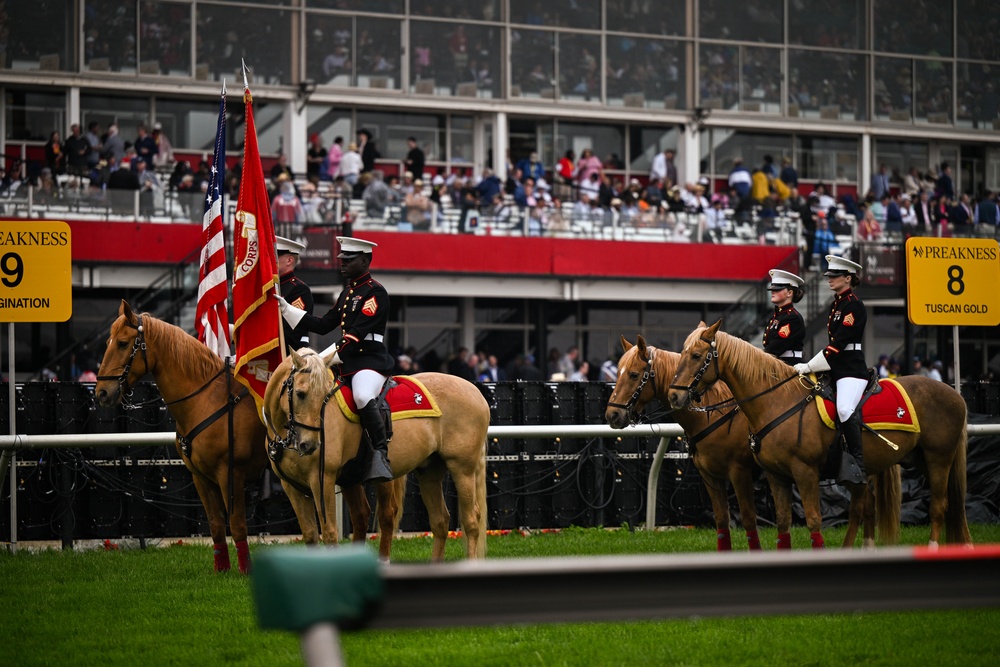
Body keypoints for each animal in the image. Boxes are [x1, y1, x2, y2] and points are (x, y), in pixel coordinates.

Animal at [260, 350, 490, 564]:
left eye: (325, 397)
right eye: (300, 394)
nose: (310, 445)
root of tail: (475, 391)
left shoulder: (322, 481)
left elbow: (330, 533)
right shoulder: (293, 487)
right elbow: (310, 535)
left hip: (462, 469)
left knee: (471, 520)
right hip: (429, 473)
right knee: (440, 520)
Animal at [604, 336, 760, 552]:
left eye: (634, 375)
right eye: (617, 373)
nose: (612, 415)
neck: (715, 414)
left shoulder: (739, 472)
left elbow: (748, 518)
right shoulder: (709, 475)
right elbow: (722, 518)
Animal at [668, 322, 972, 548]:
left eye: (696, 356)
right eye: (682, 353)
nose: (674, 395)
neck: (776, 401)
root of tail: (955, 394)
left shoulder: (805, 473)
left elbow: (814, 520)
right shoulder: (776, 476)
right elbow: (783, 521)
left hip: (938, 460)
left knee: (939, 505)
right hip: (906, 461)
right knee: (865, 507)